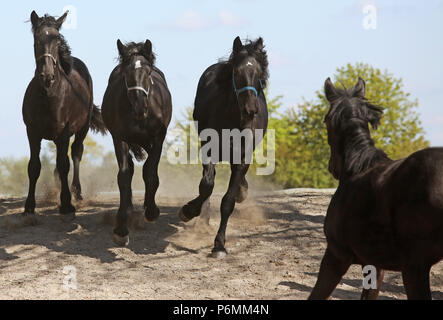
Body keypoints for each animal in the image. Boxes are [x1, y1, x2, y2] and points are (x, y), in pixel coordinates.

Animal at [22, 10, 106, 220]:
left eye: (58, 39)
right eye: (37, 39)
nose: (47, 76)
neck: (49, 95)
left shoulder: (64, 133)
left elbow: (64, 164)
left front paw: (67, 204)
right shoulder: (32, 132)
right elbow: (34, 166)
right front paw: (29, 206)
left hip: (82, 128)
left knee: (76, 153)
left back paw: (77, 191)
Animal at [101, 39, 173, 245]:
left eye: (148, 72)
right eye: (126, 74)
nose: (140, 105)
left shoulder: (158, 138)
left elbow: (150, 172)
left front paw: (151, 211)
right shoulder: (120, 138)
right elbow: (124, 175)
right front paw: (121, 229)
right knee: (131, 170)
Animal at [179, 37, 268, 258]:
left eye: (259, 74)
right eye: (237, 73)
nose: (251, 110)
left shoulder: (243, 158)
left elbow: (228, 201)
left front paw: (219, 245)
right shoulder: (209, 151)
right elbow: (206, 186)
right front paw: (188, 211)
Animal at [308, 77, 443, 300]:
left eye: (326, 119)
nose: (332, 167)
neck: (358, 168)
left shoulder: (336, 255)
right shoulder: (375, 264)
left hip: (414, 267)